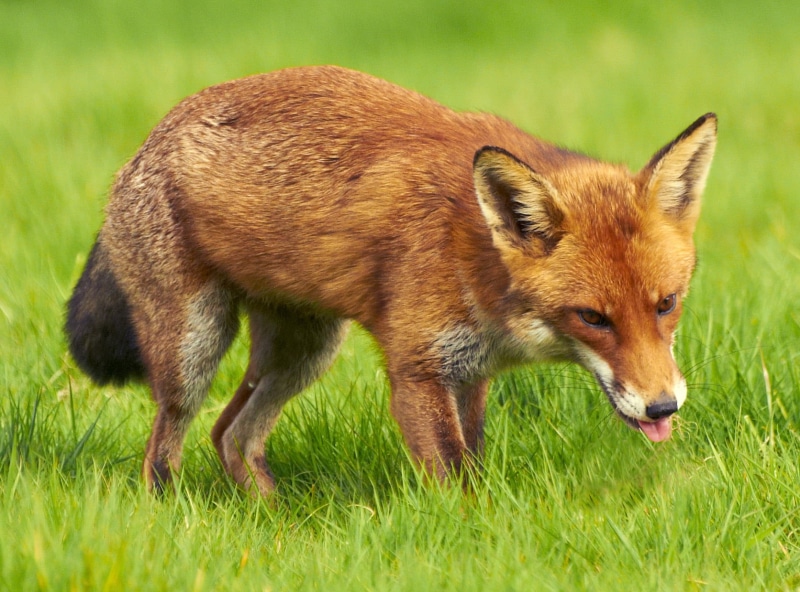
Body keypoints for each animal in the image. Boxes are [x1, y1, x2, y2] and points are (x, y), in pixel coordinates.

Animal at [65, 65, 717, 496]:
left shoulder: (468, 373)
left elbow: (472, 463)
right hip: (192, 353)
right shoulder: (417, 371)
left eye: (667, 304)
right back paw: (170, 515)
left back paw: (276, 522)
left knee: (230, 435)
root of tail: (145, 142)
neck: (474, 252)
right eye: (592, 318)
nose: (663, 406)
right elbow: (457, 485)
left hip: (304, 354)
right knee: (163, 449)